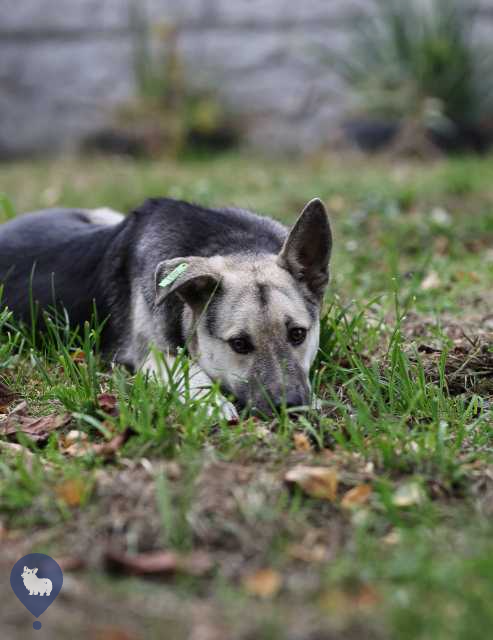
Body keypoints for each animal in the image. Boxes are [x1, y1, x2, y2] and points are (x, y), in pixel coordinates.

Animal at [0, 199, 332, 420]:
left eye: (298, 334)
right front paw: (212, 402)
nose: (293, 408)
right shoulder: (153, 357)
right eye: (239, 344)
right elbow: (188, 369)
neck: (233, 243)